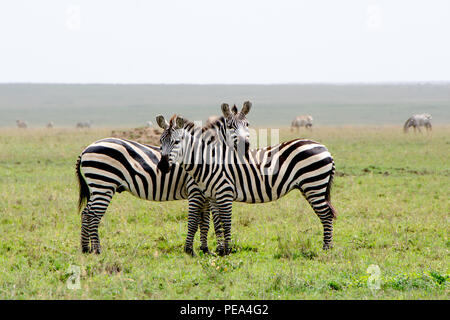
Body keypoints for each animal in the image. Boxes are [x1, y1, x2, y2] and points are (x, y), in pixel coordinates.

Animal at [76, 138, 222, 255]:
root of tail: (85, 149)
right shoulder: (195, 190)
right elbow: (195, 222)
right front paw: (190, 251)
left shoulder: (205, 196)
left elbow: (205, 223)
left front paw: (205, 250)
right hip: (104, 183)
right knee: (93, 215)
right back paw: (97, 250)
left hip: (97, 186)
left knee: (86, 213)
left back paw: (85, 249)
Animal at [156, 101, 336, 256]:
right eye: (160, 141)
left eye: (176, 142)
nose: (163, 167)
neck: (210, 161)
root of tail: (324, 148)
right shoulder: (213, 197)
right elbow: (217, 223)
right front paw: (220, 250)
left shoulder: (223, 193)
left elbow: (223, 222)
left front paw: (226, 251)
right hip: (309, 187)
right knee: (325, 214)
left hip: (314, 184)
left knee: (326, 215)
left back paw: (326, 250)